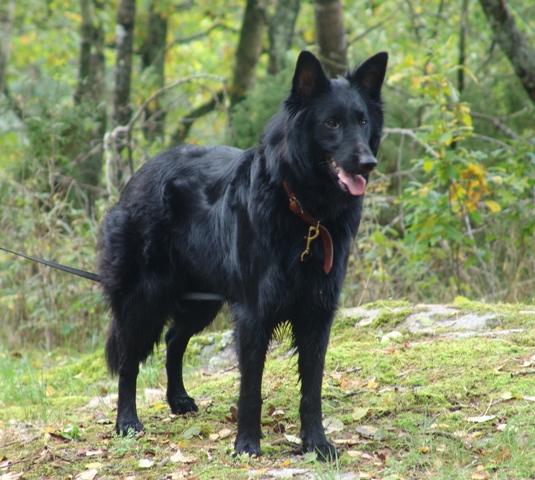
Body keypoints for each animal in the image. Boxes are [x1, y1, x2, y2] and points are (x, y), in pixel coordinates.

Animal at [98, 50, 388, 460]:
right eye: (331, 122)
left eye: (363, 121)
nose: (368, 163)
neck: (303, 212)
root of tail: (138, 175)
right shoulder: (253, 314)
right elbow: (251, 387)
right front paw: (247, 444)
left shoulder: (317, 313)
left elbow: (312, 389)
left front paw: (316, 443)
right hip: (143, 298)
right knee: (128, 361)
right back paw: (127, 422)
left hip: (201, 301)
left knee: (173, 340)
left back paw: (177, 399)